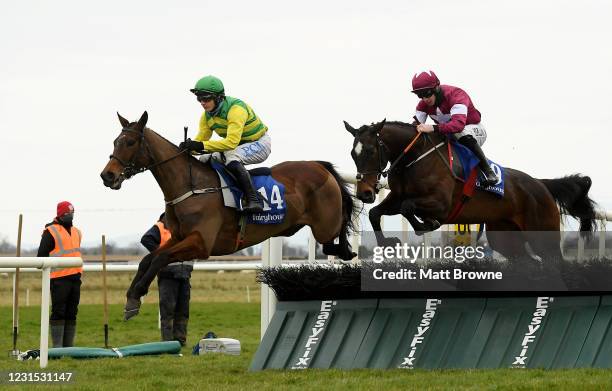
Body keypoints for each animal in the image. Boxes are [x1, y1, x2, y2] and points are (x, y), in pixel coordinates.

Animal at [102, 112, 356, 320]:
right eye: (115, 141)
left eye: (130, 142)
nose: (107, 175)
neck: (193, 187)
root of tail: (319, 166)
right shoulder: (177, 238)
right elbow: (148, 259)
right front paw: (132, 298)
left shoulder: (201, 244)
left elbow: (160, 258)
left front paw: (137, 293)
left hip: (324, 226)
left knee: (340, 227)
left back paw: (347, 250)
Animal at [344, 119, 596, 260]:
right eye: (353, 154)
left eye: (370, 151)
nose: (364, 193)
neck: (415, 157)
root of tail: (541, 184)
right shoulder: (397, 196)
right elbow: (375, 213)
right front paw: (389, 243)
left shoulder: (441, 204)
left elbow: (408, 208)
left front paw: (426, 224)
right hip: (506, 238)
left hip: (543, 237)